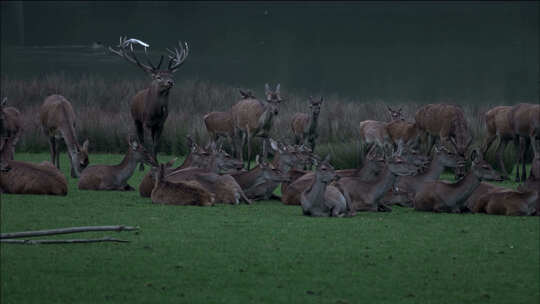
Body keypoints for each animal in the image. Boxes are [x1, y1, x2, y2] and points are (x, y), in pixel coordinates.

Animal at [106, 36, 189, 164]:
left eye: (171, 76)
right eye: (158, 77)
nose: (170, 82)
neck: (156, 113)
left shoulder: (161, 124)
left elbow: (156, 144)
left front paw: (156, 161)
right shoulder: (146, 122)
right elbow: (148, 143)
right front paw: (150, 161)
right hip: (136, 119)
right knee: (141, 140)